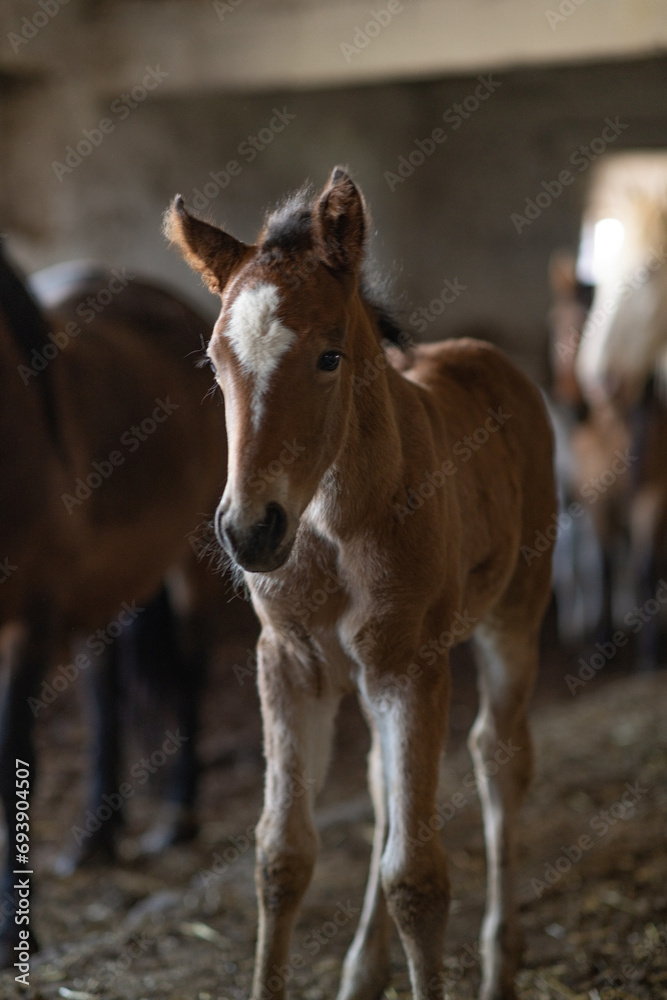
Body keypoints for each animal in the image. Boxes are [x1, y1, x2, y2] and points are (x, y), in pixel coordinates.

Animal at [0, 243, 227, 961]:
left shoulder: (29, 619)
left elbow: (13, 755)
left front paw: (14, 929)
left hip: (195, 557)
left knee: (190, 671)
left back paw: (176, 820)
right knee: (105, 688)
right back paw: (98, 837)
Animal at [165, 167, 556, 1000]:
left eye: (329, 357)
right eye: (214, 364)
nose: (250, 531)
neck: (333, 525)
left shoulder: (410, 666)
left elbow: (417, 877)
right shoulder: (288, 663)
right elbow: (281, 856)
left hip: (513, 614)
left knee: (499, 758)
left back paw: (500, 962)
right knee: (381, 786)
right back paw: (362, 971)